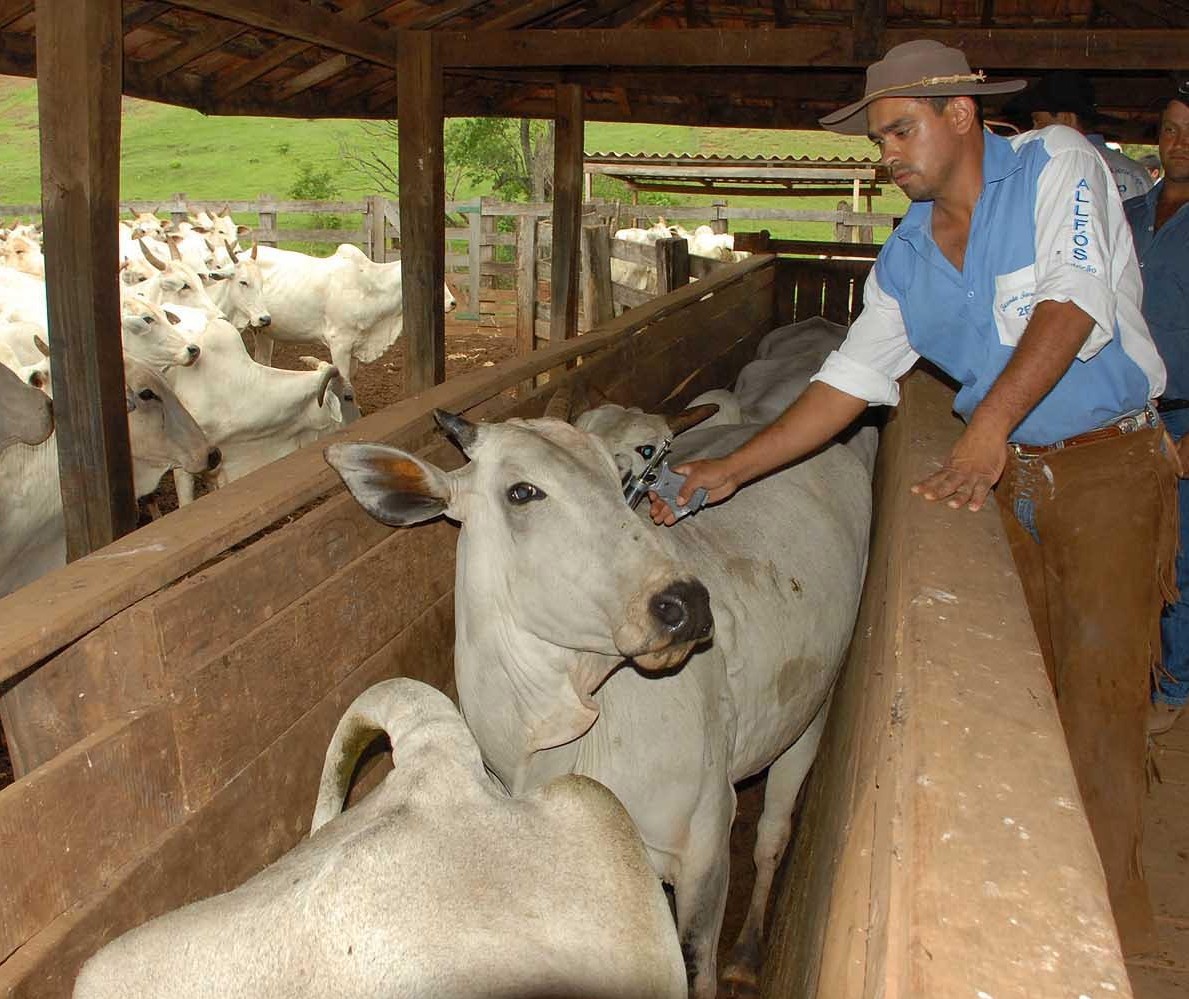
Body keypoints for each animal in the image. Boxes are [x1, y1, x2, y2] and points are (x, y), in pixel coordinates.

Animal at [325, 385, 875, 994]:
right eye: (522, 491)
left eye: (620, 479)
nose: (685, 604)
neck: (542, 741)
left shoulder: (705, 843)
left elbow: (696, 963)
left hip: (811, 710)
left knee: (773, 835)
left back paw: (750, 950)